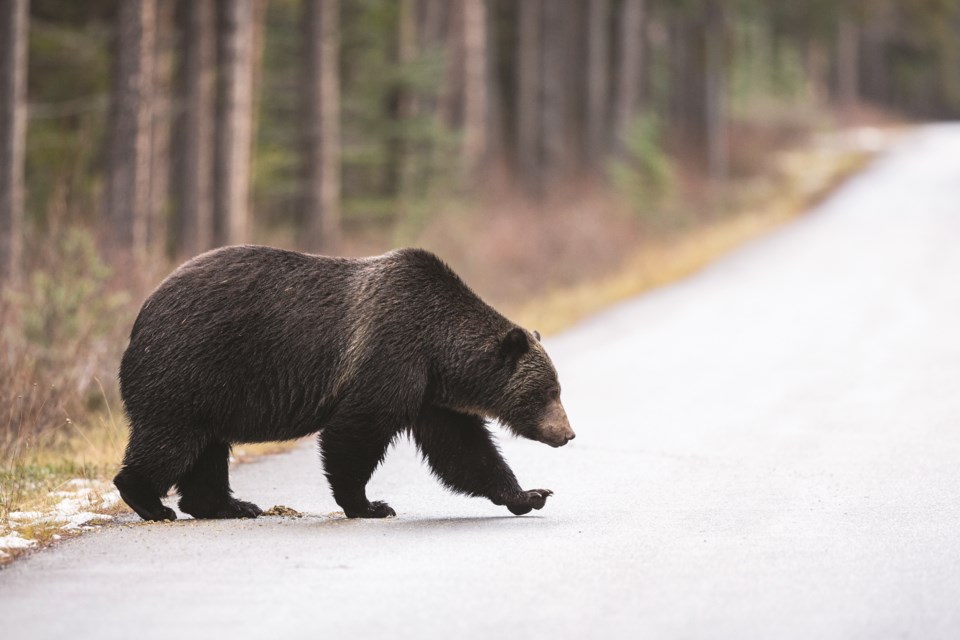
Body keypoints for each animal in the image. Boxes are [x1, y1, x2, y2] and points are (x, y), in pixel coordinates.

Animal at [115, 245, 572, 520]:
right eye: (546, 392)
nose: (567, 433)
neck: (438, 351)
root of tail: (142, 314)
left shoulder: (430, 394)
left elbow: (464, 450)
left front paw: (530, 495)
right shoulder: (389, 356)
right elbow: (355, 431)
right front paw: (370, 504)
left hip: (211, 391)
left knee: (206, 448)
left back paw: (230, 504)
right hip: (190, 368)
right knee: (171, 439)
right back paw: (150, 502)